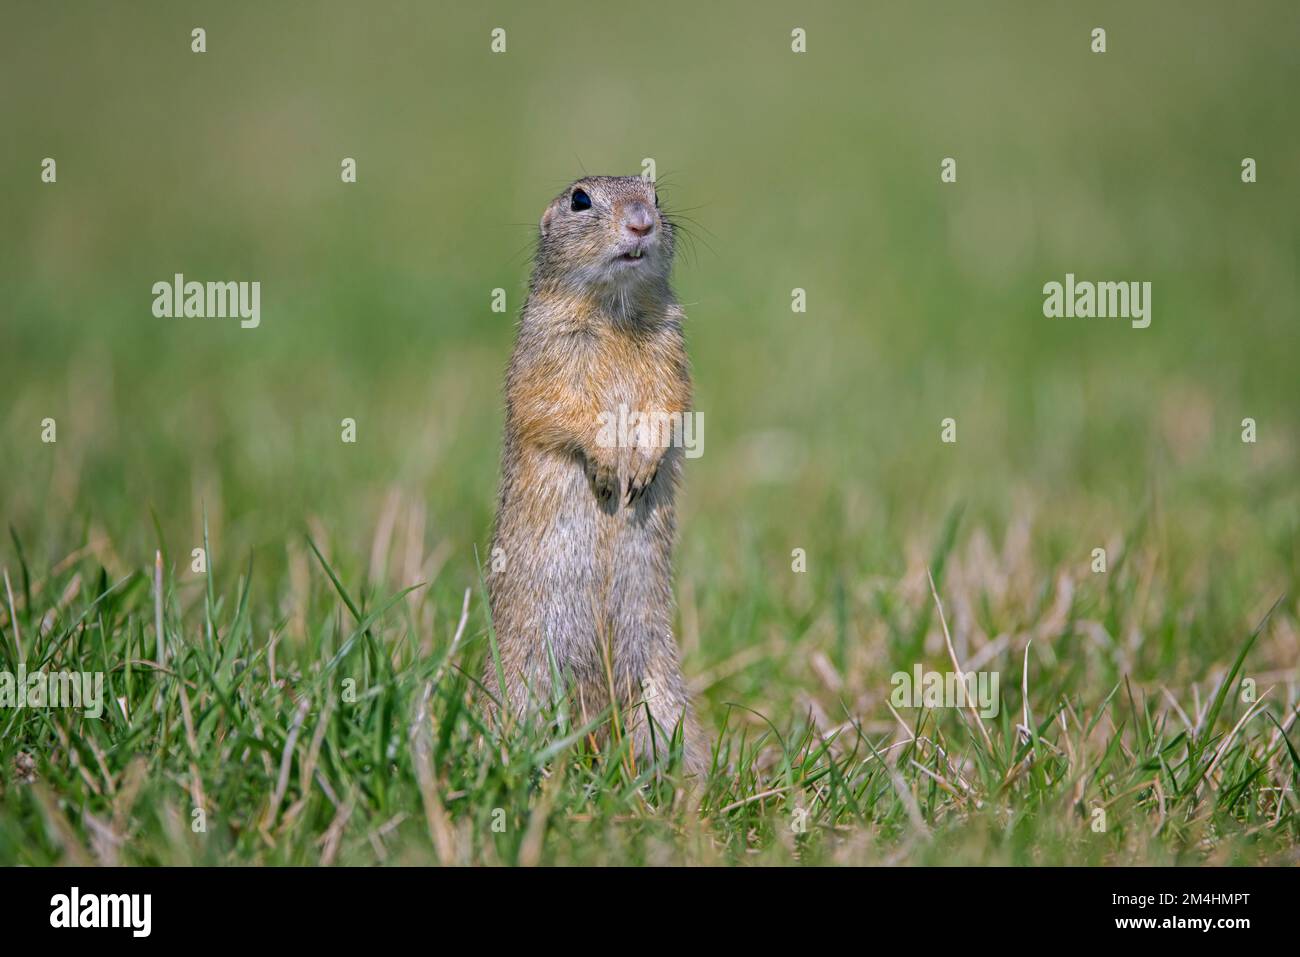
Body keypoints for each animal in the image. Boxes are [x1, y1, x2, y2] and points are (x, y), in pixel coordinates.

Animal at [488, 171, 707, 774]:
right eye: (580, 200)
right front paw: (611, 465)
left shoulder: (671, 349)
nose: (642, 222)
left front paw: (643, 464)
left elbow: (672, 403)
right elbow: (555, 407)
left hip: (662, 692)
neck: (615, 310)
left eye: (655, 195)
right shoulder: (545, 351)